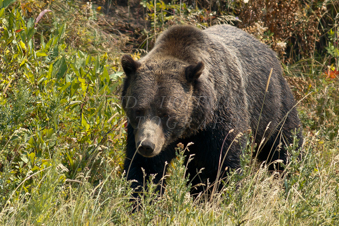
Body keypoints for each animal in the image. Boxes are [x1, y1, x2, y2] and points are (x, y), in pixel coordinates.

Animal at [121, 24, 304, 196]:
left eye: (166, 113)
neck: (193, 125)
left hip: (273, 106)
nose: (147, 145)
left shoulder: (220, 119)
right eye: (138, 110)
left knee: (284, 146)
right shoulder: (143, 134)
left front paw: (218, 195)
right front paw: (142, 197)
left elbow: (221, 166)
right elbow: (145, 169)